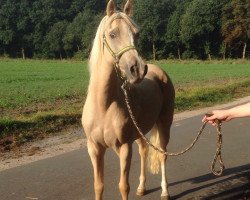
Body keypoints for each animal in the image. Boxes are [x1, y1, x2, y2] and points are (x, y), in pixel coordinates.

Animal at [82, 0, 174, 199]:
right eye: (112, 34)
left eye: (136, 33)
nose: (137, 69)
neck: (103, 106)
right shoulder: (94, 149)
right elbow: (98, 186)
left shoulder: (124, 147)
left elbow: (123, 186)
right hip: (140, 133)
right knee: (144, 151)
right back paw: (142, 188)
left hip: (164, 123)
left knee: (162, 154)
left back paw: (164, 191)